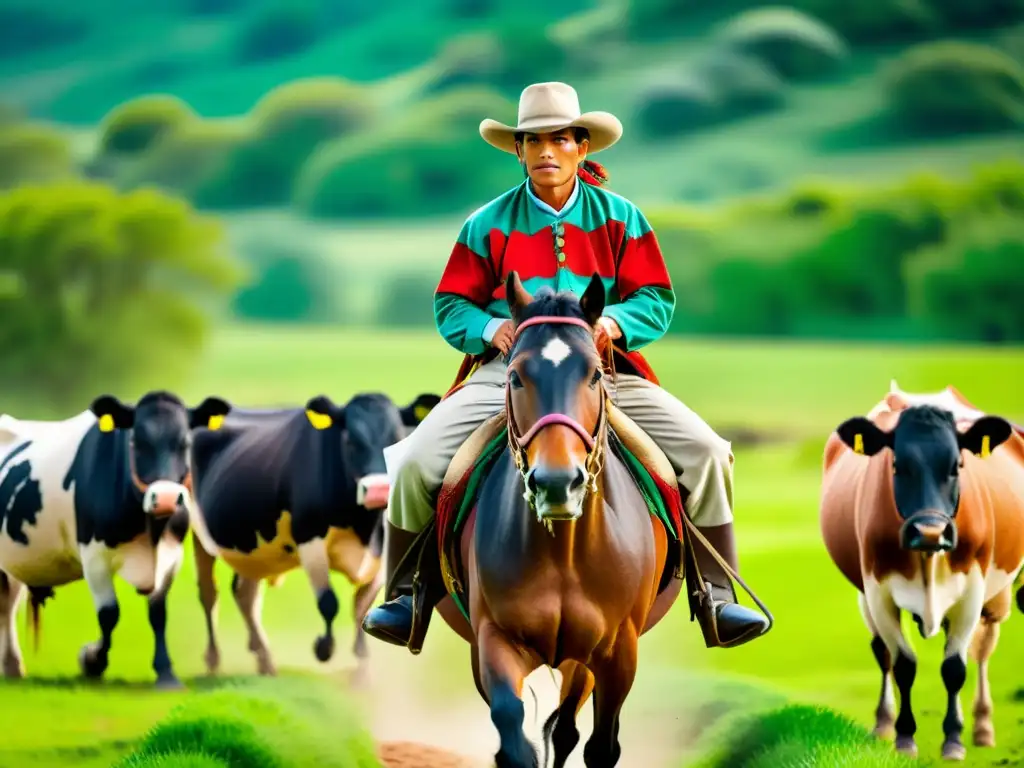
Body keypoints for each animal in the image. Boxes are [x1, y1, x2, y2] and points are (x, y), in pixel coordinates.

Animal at [0, 393, 232, 688]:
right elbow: (109, 614)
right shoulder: (94, 555)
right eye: (135, 442)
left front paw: (165, 672)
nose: (166, 498)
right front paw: (92, 662)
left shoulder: (172, 556)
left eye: (186, 443)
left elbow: (158, 613)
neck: (150, 534)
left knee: (7, 607)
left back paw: (12, 666)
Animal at [190, 393, 438, 684]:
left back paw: (264, 659)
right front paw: (323, 649)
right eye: (350, 441)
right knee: (209, 593)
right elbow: (329, 602)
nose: (378, 490)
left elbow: (362, 605)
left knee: (245, 594)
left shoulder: (382, 551)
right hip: (196, 530)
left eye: (398, 438)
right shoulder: (309, 538)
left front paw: (362, 671)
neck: (364, 527)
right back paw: (213, 660)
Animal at [432, 274, 720, 768]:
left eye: (595, 374)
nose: (556, 483)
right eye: (515, 375)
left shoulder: (616, 652)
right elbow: (512, 735)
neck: (562, 549)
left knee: (566, 728)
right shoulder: (493, 640)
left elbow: (600, 744)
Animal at [819, 385, 1024, 765]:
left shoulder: (973, 590)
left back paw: (983, 728)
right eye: (897, 465)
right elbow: (903, 664)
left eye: (957, 465)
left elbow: (955, 668)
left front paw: (954, 740)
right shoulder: (877, 590)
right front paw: (904, 736)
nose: (930, 532)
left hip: (996, 598)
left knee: (983, 649)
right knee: (882, 653)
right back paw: (883, 724)